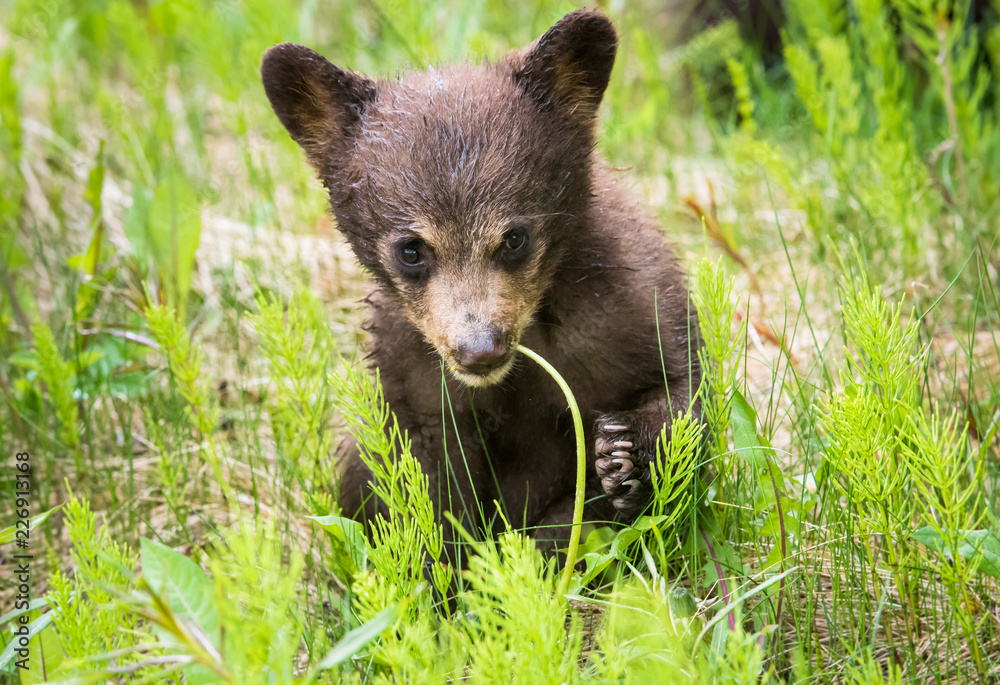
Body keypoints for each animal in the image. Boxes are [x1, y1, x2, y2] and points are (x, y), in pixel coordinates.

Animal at [261, 8, 702, 557]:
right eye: (411, 249)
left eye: (514, 237)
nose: (479, 350)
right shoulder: (412, 372)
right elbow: (423, 484)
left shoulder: (631, 302)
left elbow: (683, 393)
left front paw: (626, 457)